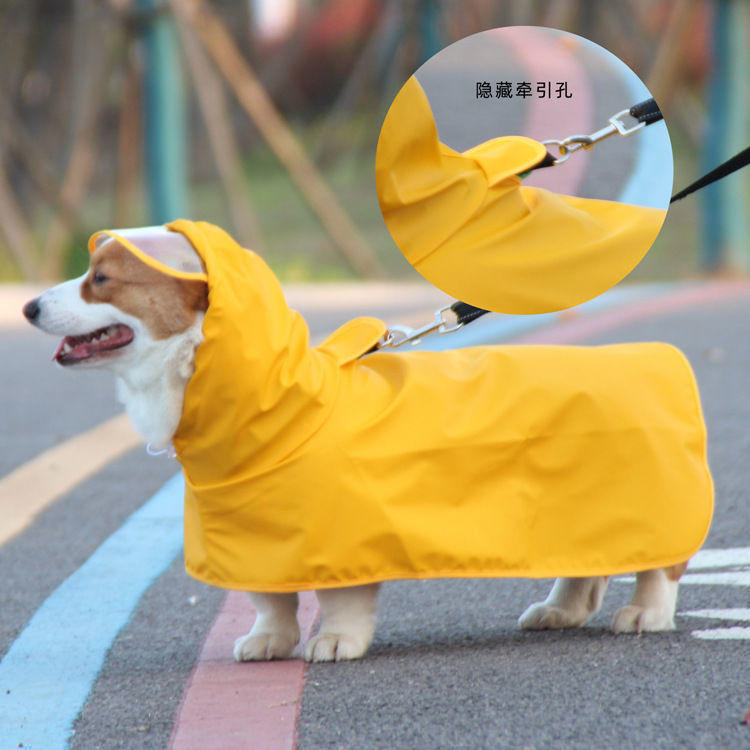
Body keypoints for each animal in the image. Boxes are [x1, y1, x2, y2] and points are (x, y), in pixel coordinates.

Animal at [22, 228, 700, 664]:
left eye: (101, 279)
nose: (26, 307)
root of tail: (660, 357)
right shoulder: (256, 539)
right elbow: (269, 600)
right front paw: (269, 641)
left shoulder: (341, 532)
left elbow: (340, 600)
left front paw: (333, 643)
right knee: (587, 565)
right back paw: (559, 610)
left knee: (660, 568)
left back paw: (644, 615)